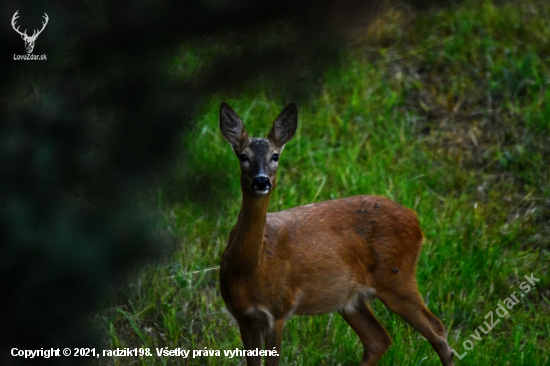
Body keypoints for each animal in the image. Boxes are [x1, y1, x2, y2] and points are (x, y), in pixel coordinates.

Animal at [220, 103, 458, 366]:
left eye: (275, 156)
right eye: (243, 156)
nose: (261, 181)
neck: (252, 268)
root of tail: (415, 219)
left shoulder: (278, 310)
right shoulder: (242, 316)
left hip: (398, 277)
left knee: (436, 329)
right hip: (350, 298)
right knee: (379, 339)